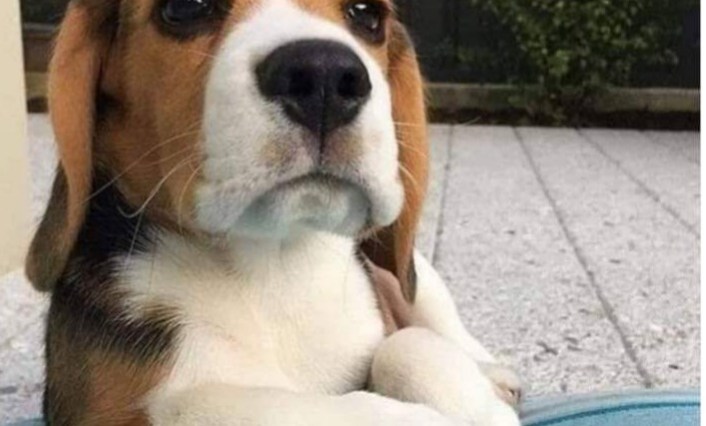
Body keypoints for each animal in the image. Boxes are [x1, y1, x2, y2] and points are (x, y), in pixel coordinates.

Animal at [26, 0, 522, 424]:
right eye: (184, 8)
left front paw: (477, 407)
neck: (273, 266)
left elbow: (405, 344)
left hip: (413, 270)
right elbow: (217, 403)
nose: (324, 76)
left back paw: (492, 375)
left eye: (367, 15)